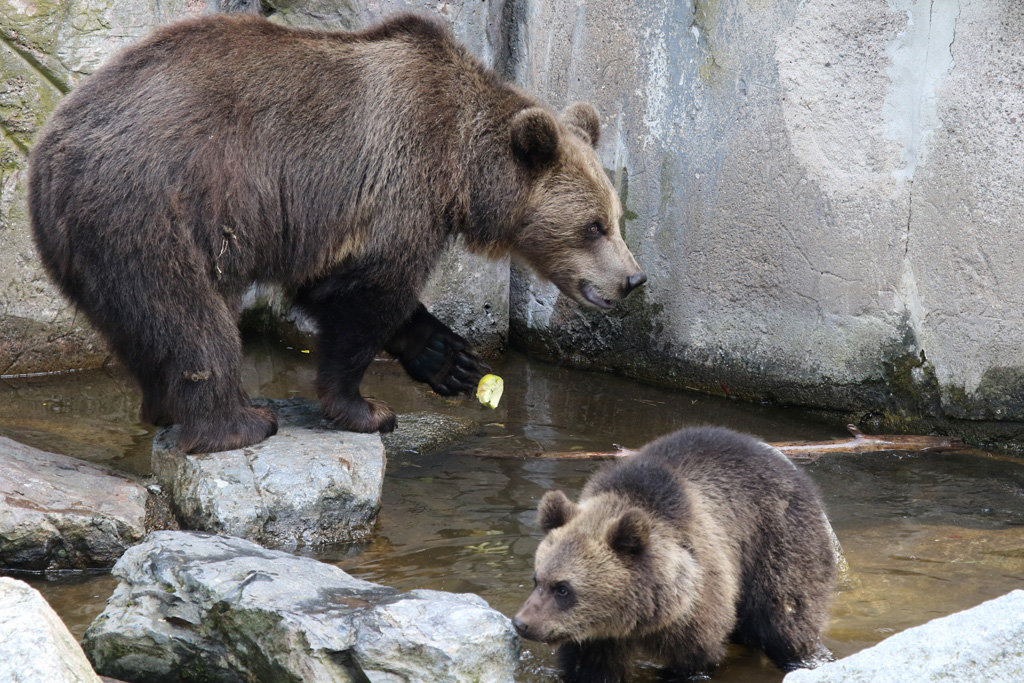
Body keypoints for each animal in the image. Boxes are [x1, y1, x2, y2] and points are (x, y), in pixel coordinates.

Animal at [27, 13, 646, 454]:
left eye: (615, 218)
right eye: (593, 225)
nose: (633, 279)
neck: (463, 171)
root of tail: (47, 152)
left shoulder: (326, 223)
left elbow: (328, 285)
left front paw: (448, 358)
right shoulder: (396, 184)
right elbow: (366, 297)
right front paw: (368, 410)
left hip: (90, 246)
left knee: (140, 325)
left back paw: (165, 408)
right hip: (151, 209)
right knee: (190, 318)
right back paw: (242, 421)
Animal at [513, 426, 836, 682]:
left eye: (563, 589)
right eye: (537, 579)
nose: (521, 623)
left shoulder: (698, 599)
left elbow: (694, 657)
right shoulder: (595, 638)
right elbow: (589, 668)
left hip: (777, 542)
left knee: (786, 616)